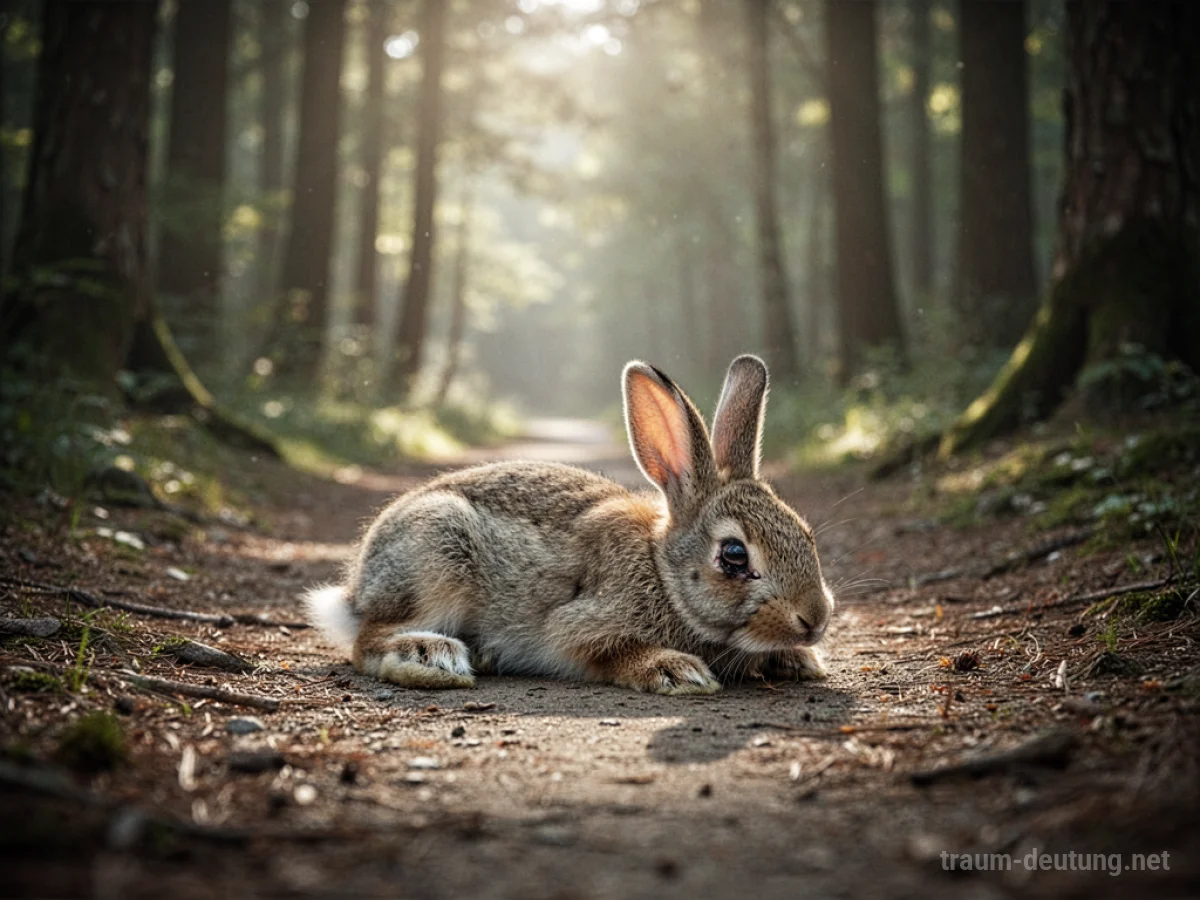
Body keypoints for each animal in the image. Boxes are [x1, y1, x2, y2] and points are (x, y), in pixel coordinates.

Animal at [304, 354, 835, 694]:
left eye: (807, 534)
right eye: (734, 556)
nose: (815, 619)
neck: (663, 573)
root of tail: (356, 591)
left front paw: (800, 661)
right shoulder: (579, 626)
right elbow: (607, 651)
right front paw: (677, 670)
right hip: (437, 558)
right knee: (366, 641)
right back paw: (429, 655)